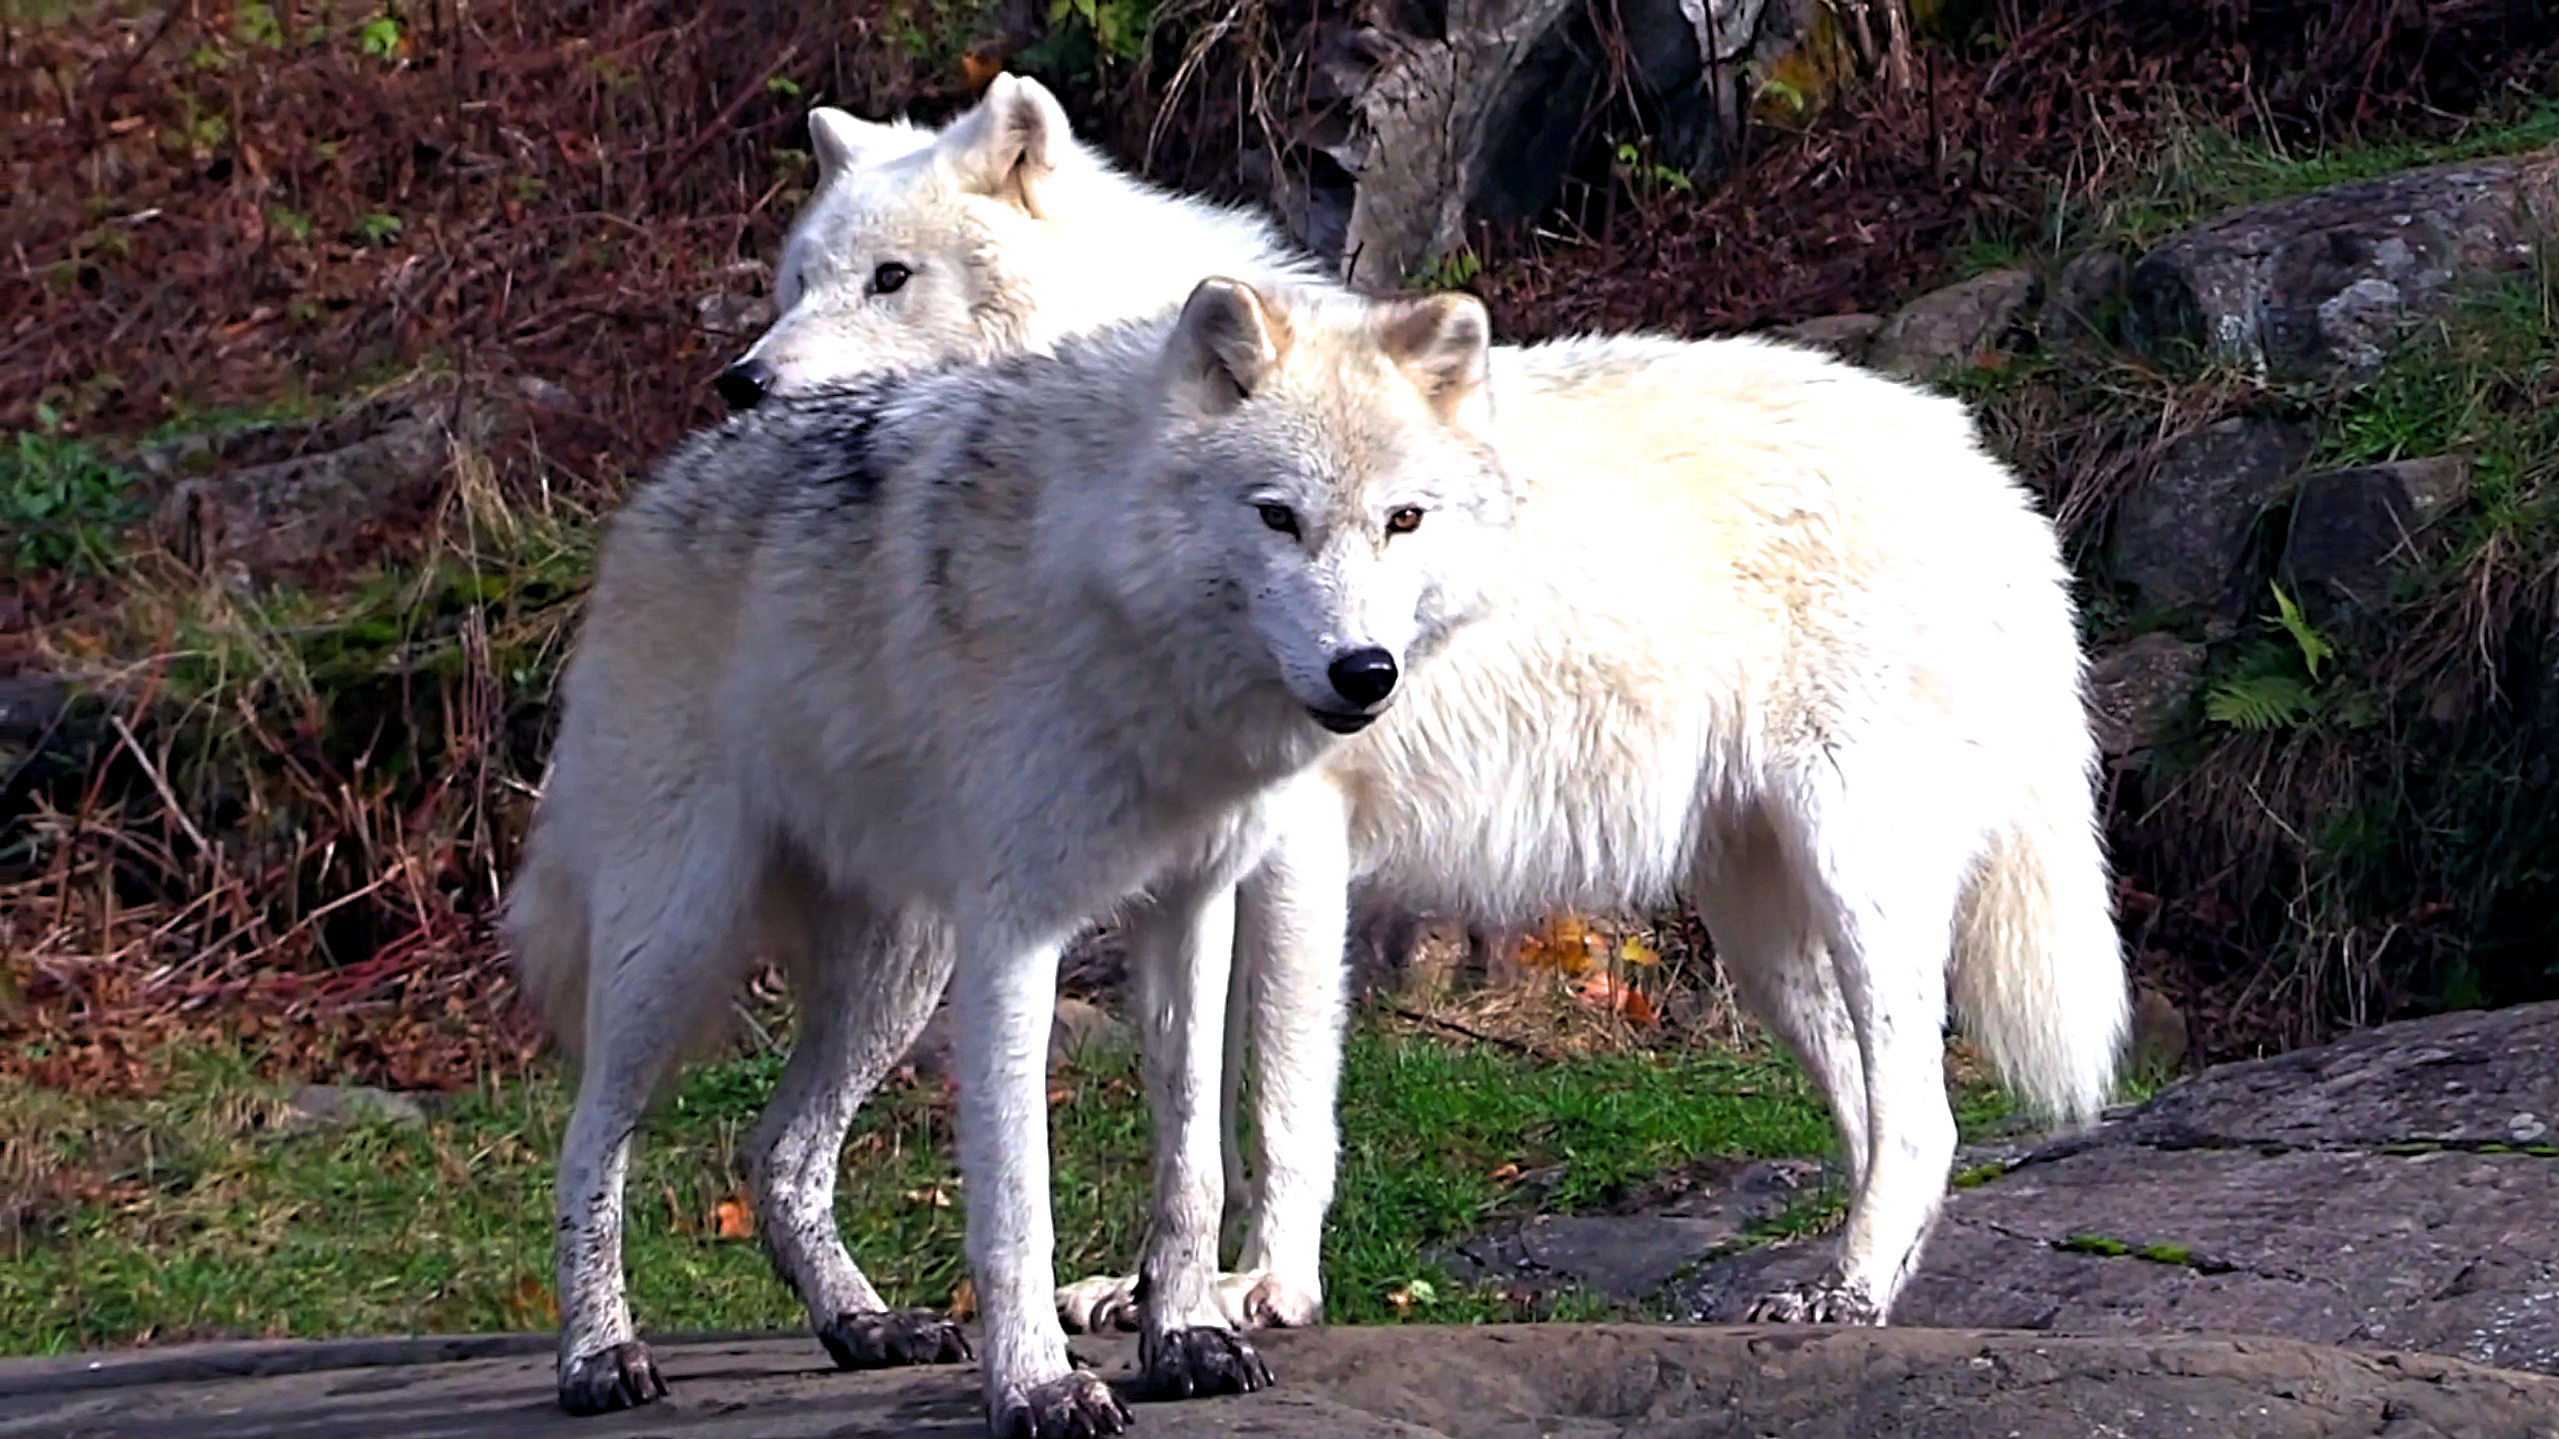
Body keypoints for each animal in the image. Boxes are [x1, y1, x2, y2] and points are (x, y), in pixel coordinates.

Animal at [506, 273, 1512, 1436]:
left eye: (1403, 519)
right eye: (1276, 516)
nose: (1366, 670)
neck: (1119, 622)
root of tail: (657, 491)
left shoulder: (1190, 905)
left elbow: (1191, 1165)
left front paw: (1184, 1337)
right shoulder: (1017, 933)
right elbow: (1018, 1196)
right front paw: (1038, 1381)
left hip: (898, 972)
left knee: (780, 1152)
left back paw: (864, 1324)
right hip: (677, 939)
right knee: (589, 1141)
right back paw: (598, 1355)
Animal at [717, 74, 2128, 1354]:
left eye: (890, 279)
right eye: (796, 282)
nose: (743, 384)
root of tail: (1995, 476)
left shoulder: (1297, 850)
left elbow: (1280, 1097)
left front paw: (1262, 1291)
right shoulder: (1208, 861)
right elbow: (1203, 1096)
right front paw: (1162, 1296)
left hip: (1854, 868)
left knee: (1925, 1110)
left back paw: (1843, 1293)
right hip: (1761, 921)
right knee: (1886, 1110)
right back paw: (1856, 1289)